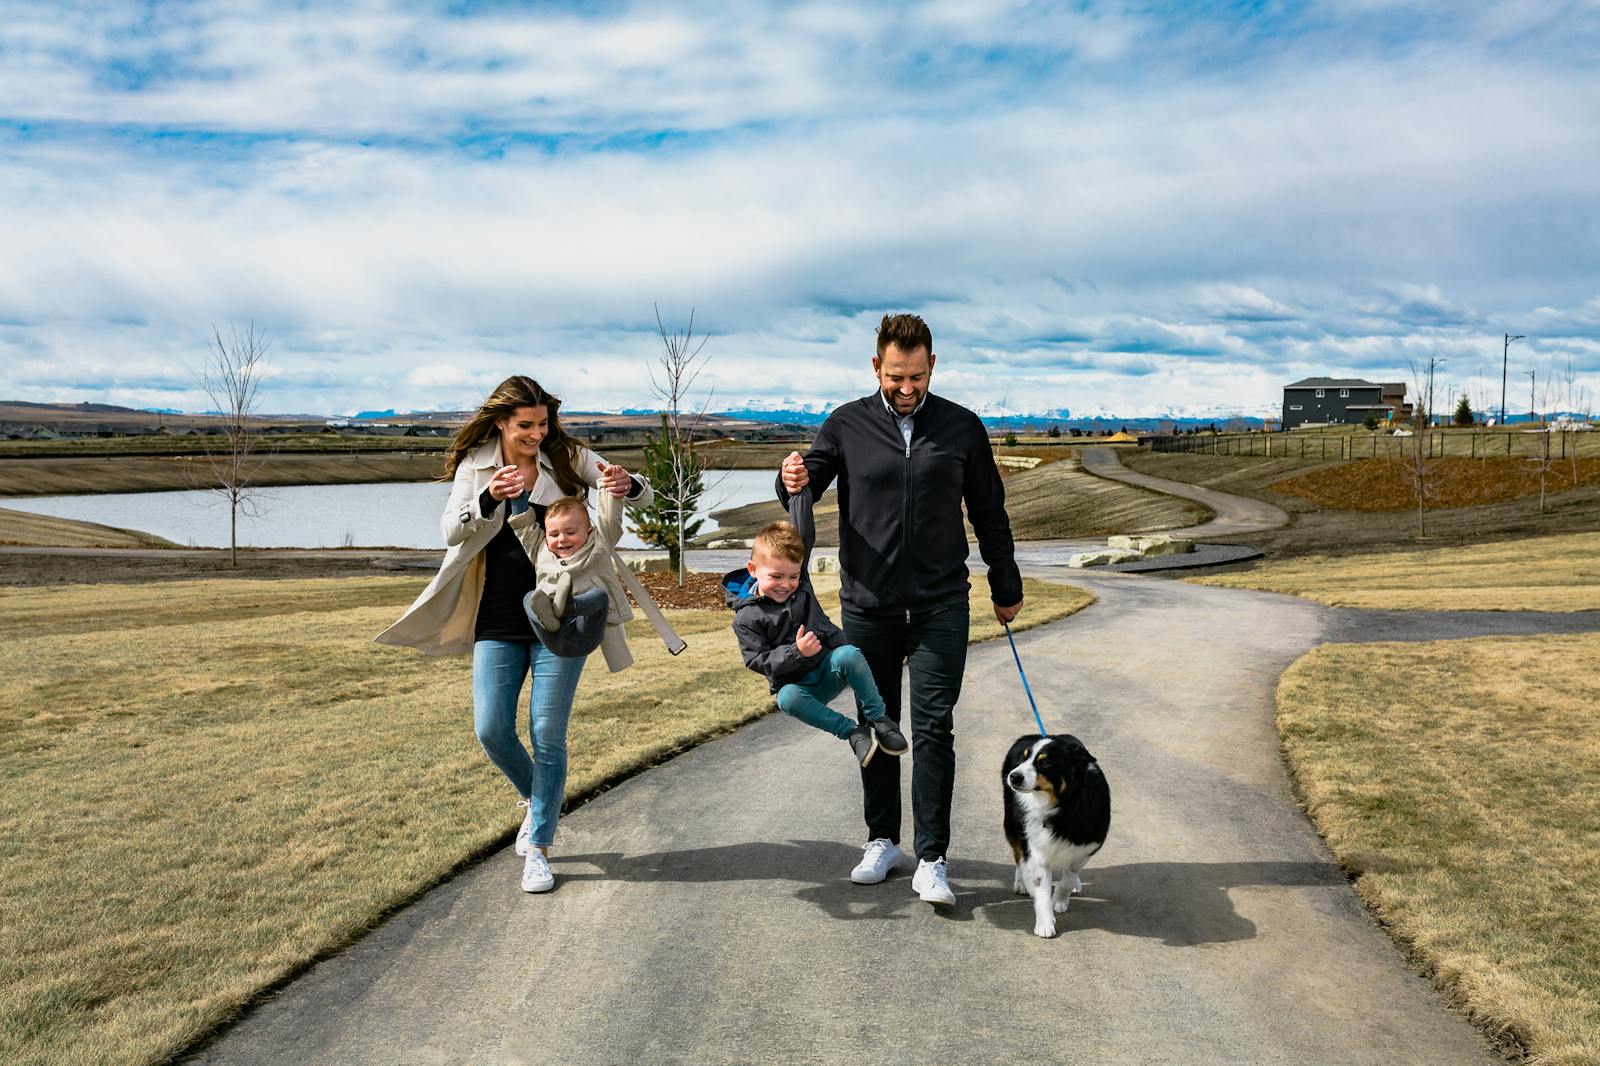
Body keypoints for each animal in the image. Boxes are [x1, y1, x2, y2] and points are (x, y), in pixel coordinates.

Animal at [998, 736, 1113, 934]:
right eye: (1024, 758)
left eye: (1044, 763)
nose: (1013, 776)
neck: (1064, 805)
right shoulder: (1038, 846)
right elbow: (1041, 887)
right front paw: (1045, 925)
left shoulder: (1087, 845)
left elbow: (1069, 877)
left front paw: (1059, 900)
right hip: (1013, 823)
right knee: (1019, 854)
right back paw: (1022, 882)